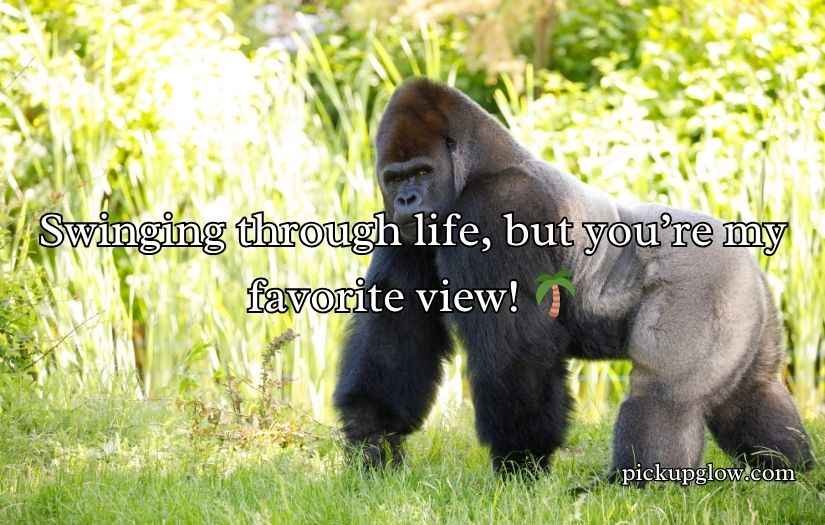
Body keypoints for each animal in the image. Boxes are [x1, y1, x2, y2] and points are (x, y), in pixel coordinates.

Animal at [333, 78, 814, 479]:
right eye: (395, 178)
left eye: (422, 172)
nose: (407, 199)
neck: (480, 163)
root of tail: (744, 254)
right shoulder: (405, 229)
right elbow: (397, 328)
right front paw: (373, 434)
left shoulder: (499, 209)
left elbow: (516, 352)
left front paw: (521, 459)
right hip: (746, 301)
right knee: (751, 392)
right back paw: (788, 468)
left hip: (707, 284)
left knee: (665, 395)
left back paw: (638, 486)